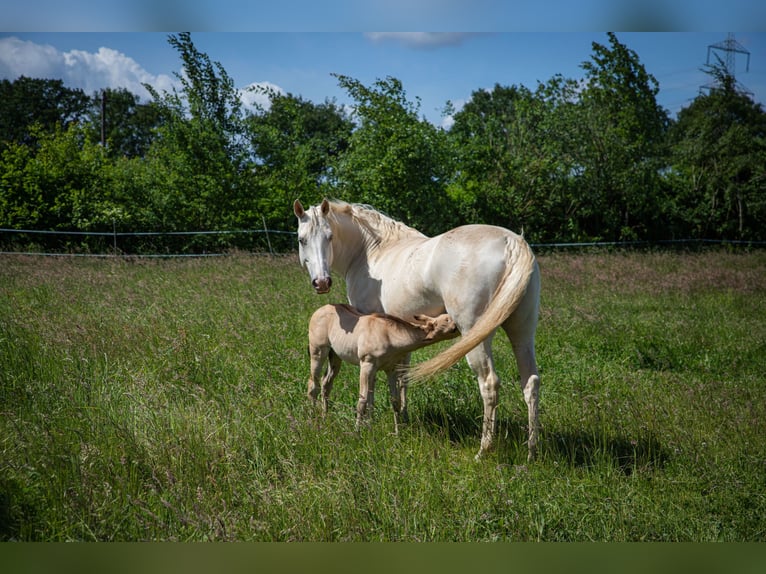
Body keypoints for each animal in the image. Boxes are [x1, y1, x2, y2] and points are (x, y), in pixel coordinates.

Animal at [308, 306, 460, 432]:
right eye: (447, 319)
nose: (458, 325)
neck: (389, 335)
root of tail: (319, 310)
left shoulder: (390, 369)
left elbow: (394, 401)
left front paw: (397, 433)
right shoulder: (367, 365)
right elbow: (362, 401)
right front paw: (357, 433)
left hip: (335, 357)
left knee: (326, 384)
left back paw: (325, 417)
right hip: (318, 352)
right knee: (313, 385)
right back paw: (313, 419)